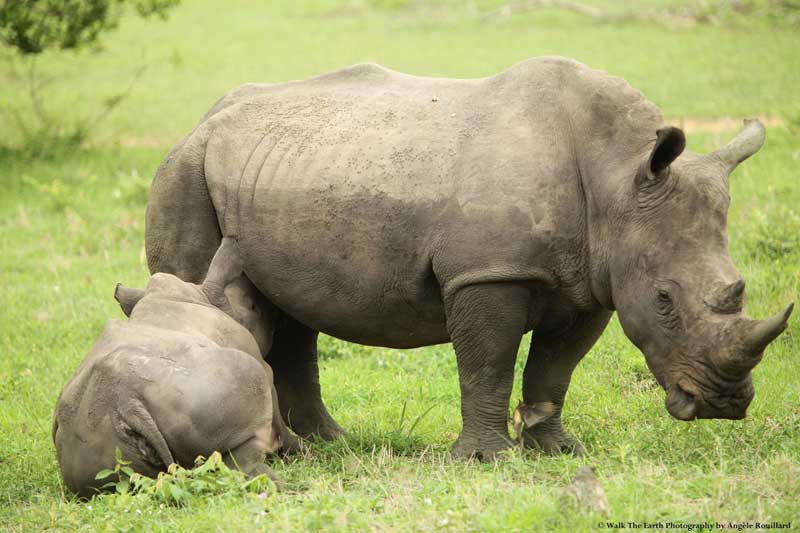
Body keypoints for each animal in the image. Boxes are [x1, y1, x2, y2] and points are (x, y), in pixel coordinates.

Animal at [53, 238, 297, 498]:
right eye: (253, 307)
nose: (277, 314)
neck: (202, 296)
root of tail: (126, 404)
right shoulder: (260, 364)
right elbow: (277, 412)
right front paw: (300, 449)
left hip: (92, 443)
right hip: (209, 389)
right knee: (252, 391)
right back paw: (274, 482)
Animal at [145, 57, 793, 460]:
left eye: (739, 286)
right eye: (664, 300)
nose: (723, 405)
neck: (618, 175)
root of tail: (202, 119)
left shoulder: (591, 281)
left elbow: (556, 367)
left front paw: (557, 451)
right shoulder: (488, 273)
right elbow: (490, 361)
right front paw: (485, 459)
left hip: (279, 171)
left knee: (291, 310)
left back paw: (332, 444)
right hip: (185, 170)